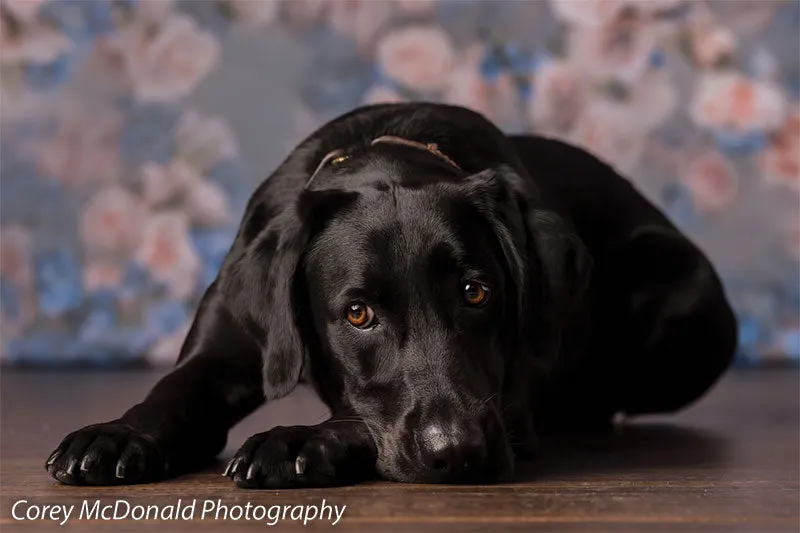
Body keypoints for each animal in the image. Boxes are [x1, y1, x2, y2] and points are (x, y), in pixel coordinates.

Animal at [45, 103, 736, 486]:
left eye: (476, 293)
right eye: (358, 313)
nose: (459, 454)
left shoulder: (508, 403)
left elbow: (358, 417)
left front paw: (300, 440)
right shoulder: (228, 341)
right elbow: (172, 392)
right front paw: (117, 436)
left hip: (689, 298)